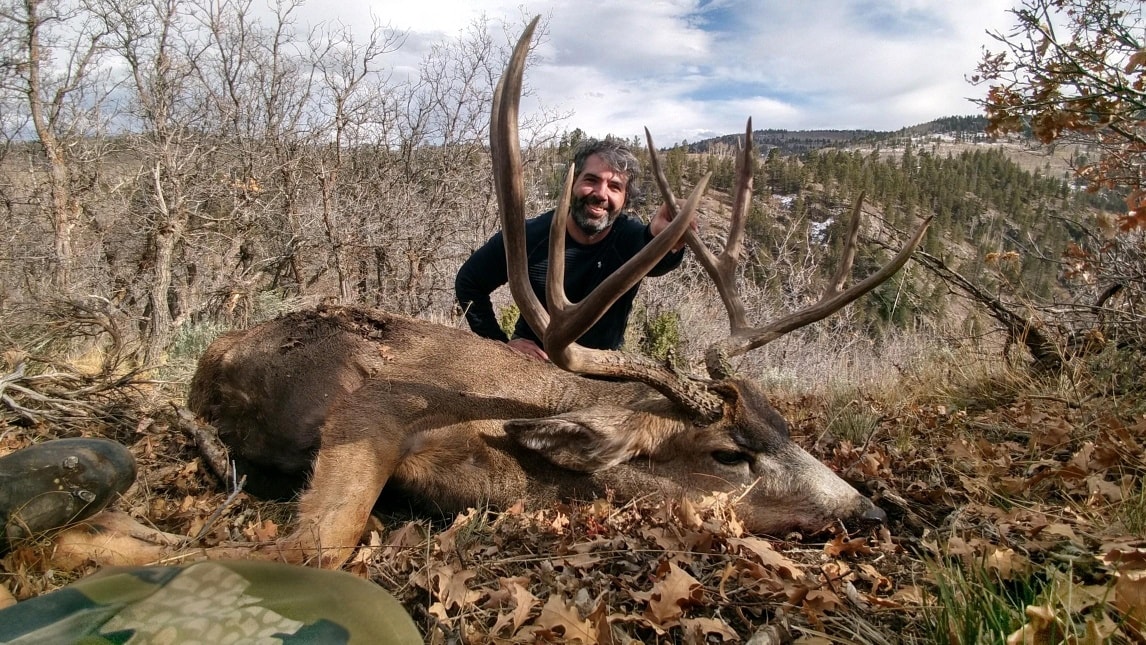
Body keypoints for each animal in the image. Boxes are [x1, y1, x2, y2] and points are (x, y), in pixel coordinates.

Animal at [53, 16, 930, 570]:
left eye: (787, 426)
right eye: (727, 453)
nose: (872, 512)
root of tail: (213, 355)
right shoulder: (373, 404)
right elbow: (314, 543)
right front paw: (83, 538)